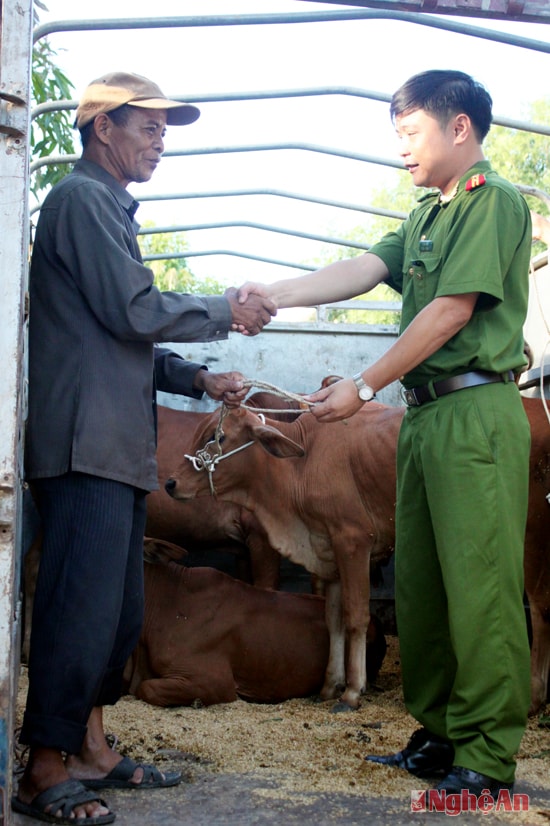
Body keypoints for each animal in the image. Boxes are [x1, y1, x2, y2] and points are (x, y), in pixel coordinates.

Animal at [166, 400, 404, 708]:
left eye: (217, 437)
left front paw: (352, 691)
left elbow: (356, 616)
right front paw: (330, 686)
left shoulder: (354, 542)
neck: (303, 463)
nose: (170, 483)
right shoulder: (328, 551)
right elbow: (334, 620)